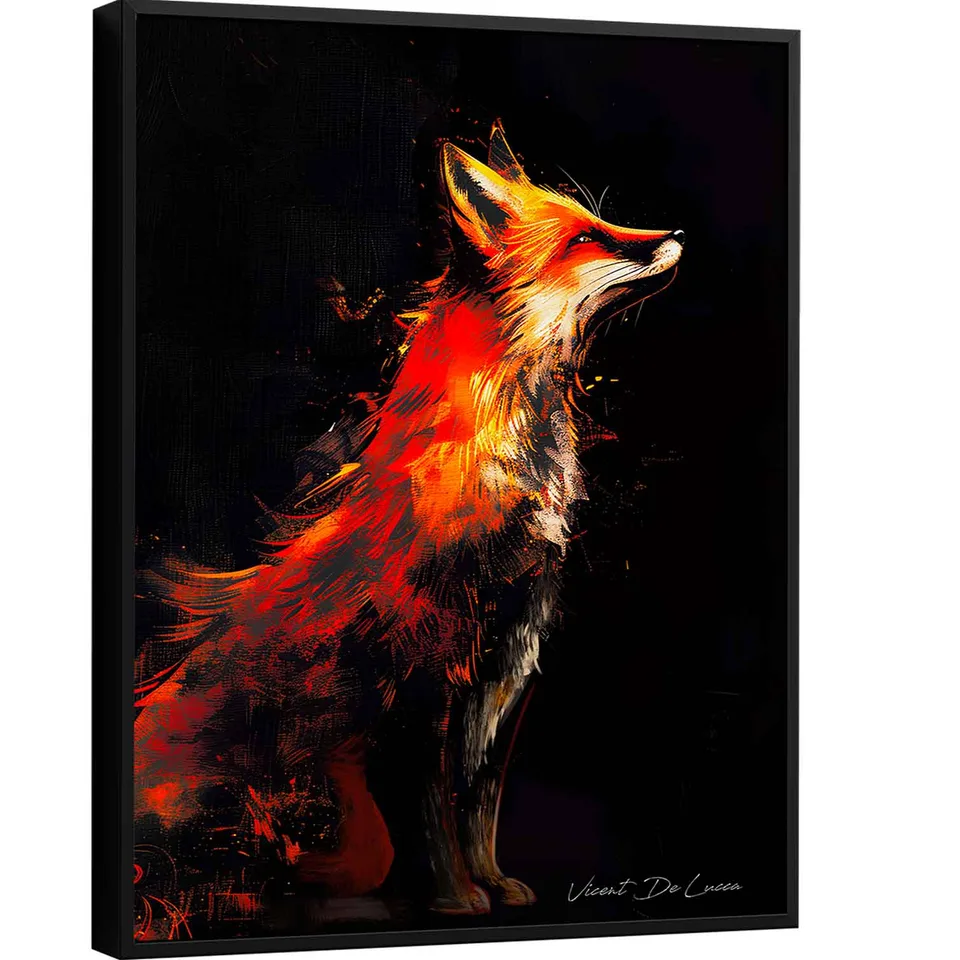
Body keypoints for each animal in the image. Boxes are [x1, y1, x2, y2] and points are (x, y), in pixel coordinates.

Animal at [134, 122, 684, 919]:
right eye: (586, 237)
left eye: (601, 221)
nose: (676, 232)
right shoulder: (429, 672)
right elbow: (431, 814)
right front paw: (456, 899)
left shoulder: (506, 667)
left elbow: (477, 804)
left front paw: (494, 886)